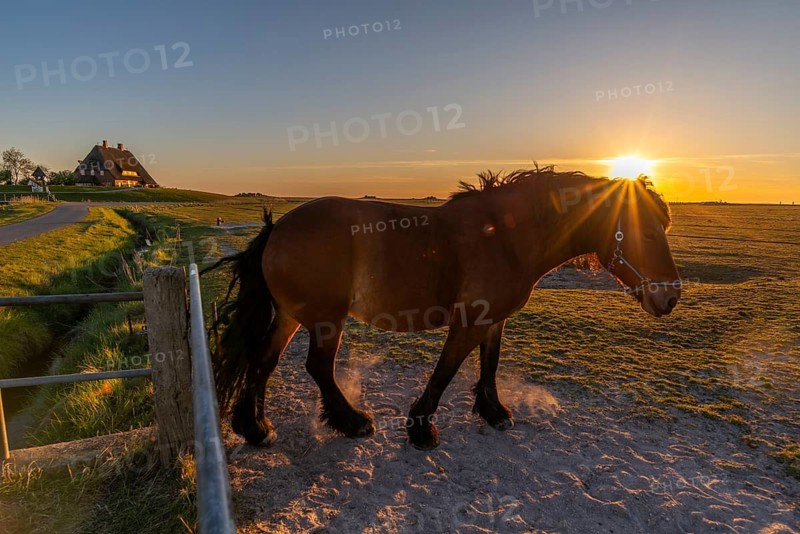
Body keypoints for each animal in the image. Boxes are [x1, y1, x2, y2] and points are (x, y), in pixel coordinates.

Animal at [206, 166, 681, 450]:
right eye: (649, 233)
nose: (671, 297)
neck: (506, 237)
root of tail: (277, 228)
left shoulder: (493, 320)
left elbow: (488, 365)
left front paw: (494, 412)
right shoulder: (468, 321)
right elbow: (446, 371)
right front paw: (420, 427)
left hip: (289, 316)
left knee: (264, 361)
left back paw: (255, 426)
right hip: (325, 321)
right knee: (318, 367)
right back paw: (351, 422)